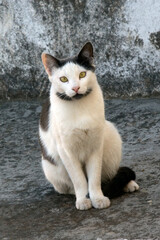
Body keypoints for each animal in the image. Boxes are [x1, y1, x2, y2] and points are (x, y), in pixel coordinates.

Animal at [39, 41, 139, 210]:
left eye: (82, 75)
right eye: (63, 79)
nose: (75, 88)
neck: (80, 108)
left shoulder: (96, 145)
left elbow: (94, 178)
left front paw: (98, 198)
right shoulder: (66, 151)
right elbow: (79, 180)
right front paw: (83, 199)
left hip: (110, 134)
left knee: (108, 175)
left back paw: (128, 184)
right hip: (51, 166)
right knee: (67, 187)